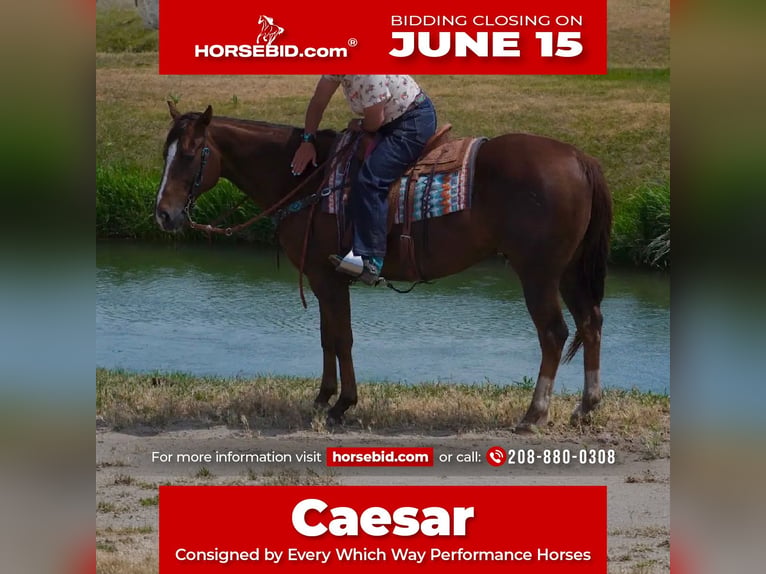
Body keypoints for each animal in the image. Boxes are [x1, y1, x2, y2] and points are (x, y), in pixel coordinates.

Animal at [154, 102, 613, 433]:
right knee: (590, 322)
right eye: (166, 154)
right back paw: (586, 406)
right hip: (568, 271)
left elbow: (342, 338)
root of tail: (579, 157)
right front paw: (323, 398)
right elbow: (327, 337)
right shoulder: (323, 278)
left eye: (191, 154)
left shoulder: (327, 275)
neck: (307, 181)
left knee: (554, 334)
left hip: (538, 273)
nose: (163, 214)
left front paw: (342, 404)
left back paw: (534, 414)